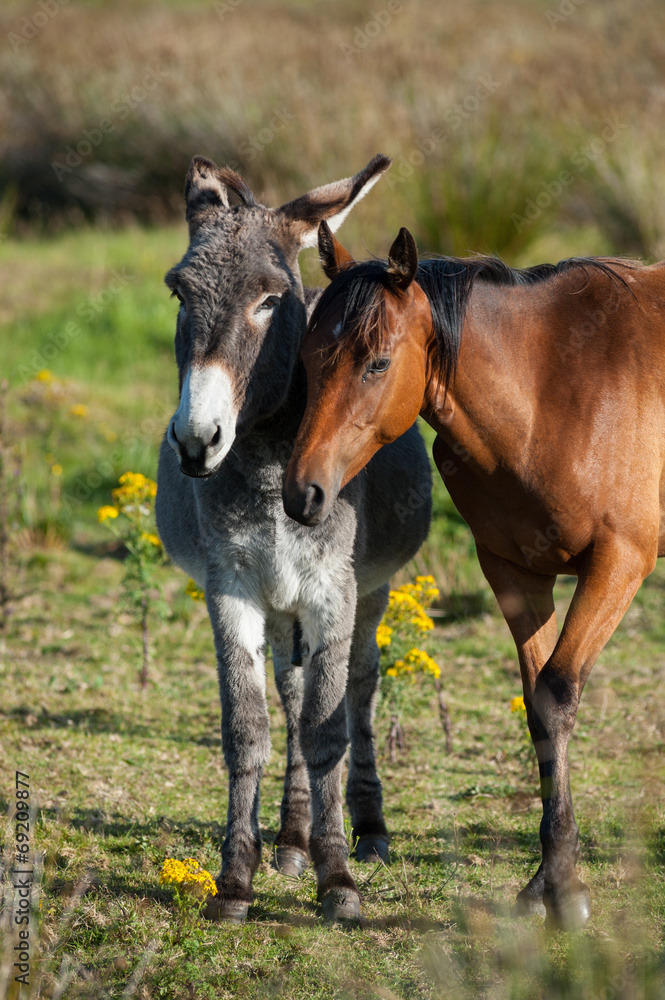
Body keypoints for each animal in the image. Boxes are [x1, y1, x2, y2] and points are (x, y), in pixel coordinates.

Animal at [155, 158, 434, 920]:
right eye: (178, 292)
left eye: (270, 300)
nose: (196, 443)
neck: (270, 462)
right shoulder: (233, 588)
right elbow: (248, 727)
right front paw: (236, 878)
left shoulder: (333, 589)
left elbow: (328, 729)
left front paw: (337, 878)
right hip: (281, 605)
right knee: (291, 687)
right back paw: (289, 837)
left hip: (369, 590)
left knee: (358, 686)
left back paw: (365, 830)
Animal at [280, 219, 664, 928]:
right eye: (310, 358)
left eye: (377, 362)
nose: (303, 493)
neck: (551, 394)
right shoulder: (515, 572)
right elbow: (541, 708)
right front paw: (550, 882)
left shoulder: (619, 563)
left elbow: (560, 692)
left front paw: (565, 888)